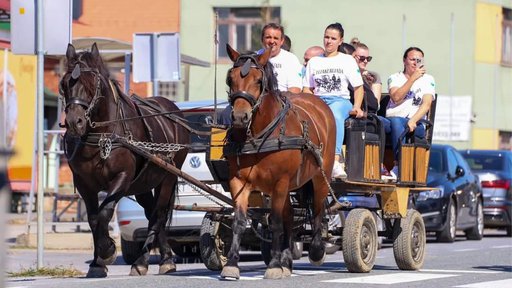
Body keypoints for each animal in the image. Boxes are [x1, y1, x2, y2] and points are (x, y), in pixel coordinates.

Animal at [60, 44, 188, 278]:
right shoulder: (84, 184)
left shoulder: (122, 178)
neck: (101, 134)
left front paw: (107, 251)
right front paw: (97, 263)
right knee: (151, 213)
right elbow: (93, 219)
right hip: (143, 184)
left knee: (158, 214)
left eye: (91, 84)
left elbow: (104, 213)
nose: (75, 122)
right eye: (64, 83)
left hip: (168, 177)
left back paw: (144, 262)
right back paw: (164, 258)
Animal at [221, 44, 336, 280]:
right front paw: (232, 263)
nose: (239, 117)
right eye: (230, 78)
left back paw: (316, 250)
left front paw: (273, 265)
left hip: (320, 176)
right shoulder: (238, 181)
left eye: (258, 80)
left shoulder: (280, 182)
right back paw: (287, 261)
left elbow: (275, 222)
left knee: (318, 209)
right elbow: (239, 221)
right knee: (290, 216)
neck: (258, 134)